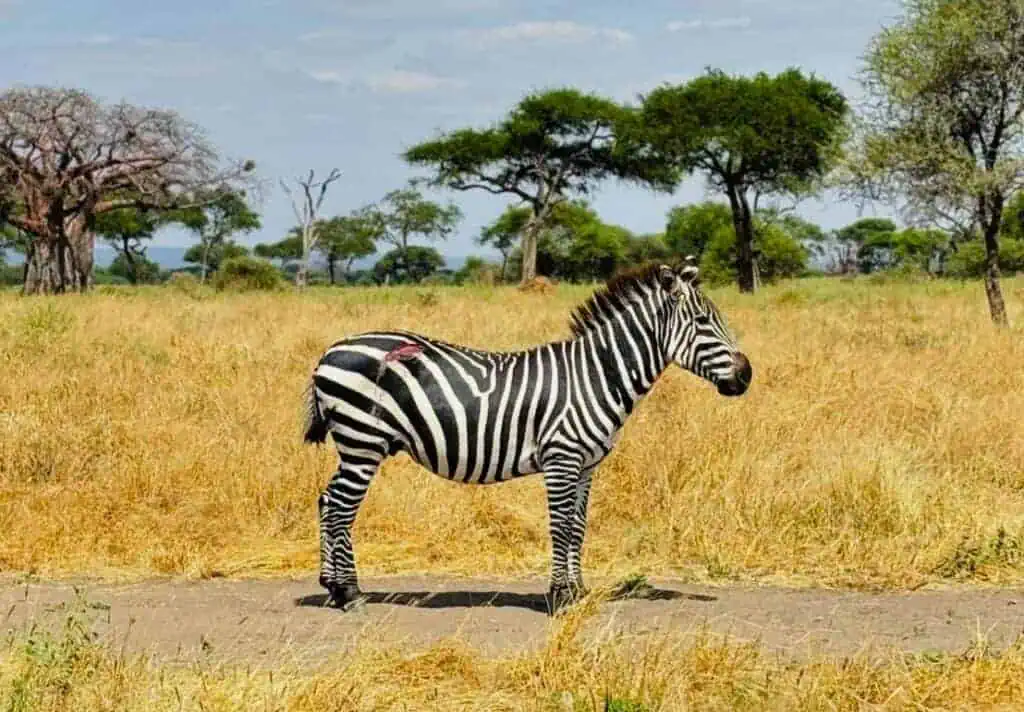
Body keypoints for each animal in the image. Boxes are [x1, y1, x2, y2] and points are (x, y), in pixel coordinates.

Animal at [302, 260, 752, 612]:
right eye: (703, 323)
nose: (746, 375)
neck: (597, 375)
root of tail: (330, 351)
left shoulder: (587, 465)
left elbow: (579, 526)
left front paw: (578, 591)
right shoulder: (561, 458)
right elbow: (561, 525)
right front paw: (560, 597)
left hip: (356, 446)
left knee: (327, 501)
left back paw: (332, 587)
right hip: (364, 442)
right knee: (340, 507)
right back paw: (349, 593)